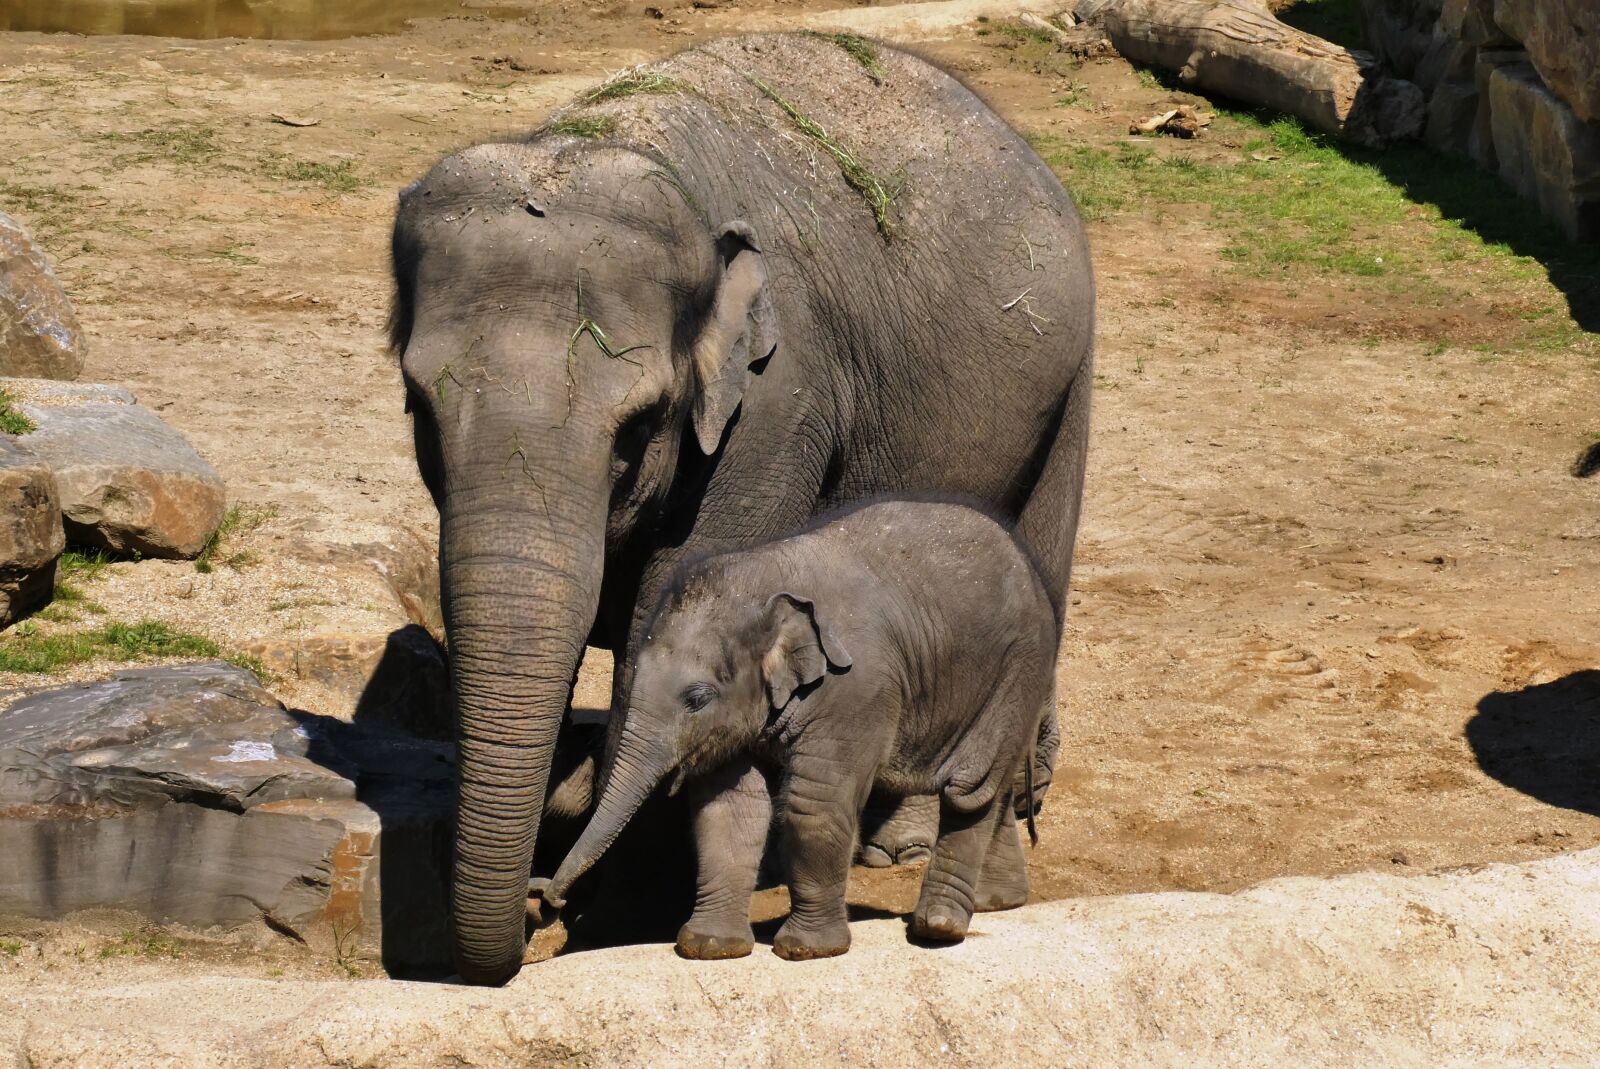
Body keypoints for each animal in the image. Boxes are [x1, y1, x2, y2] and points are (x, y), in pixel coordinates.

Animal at [538, 500, 1058, 960]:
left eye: (698, 699)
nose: (548, 901)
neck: (763, 577)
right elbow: (730, 809)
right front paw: (709, 948)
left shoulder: (855, 689)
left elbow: (815, 804)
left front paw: (807, 951)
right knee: (992, 791)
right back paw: (997, 902)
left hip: (1017, 672)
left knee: (970, 789)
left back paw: (939, 927)